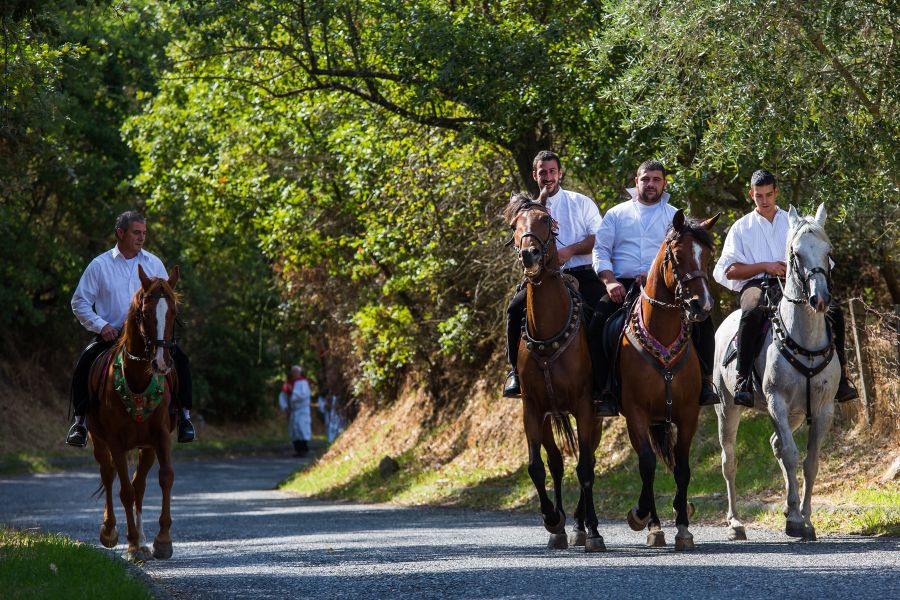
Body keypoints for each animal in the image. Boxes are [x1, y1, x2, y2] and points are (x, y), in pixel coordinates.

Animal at [88, 264, 181, 560]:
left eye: (173, 312)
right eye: (146, 313)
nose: (162, 362)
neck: (139, 377)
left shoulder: (160, 438)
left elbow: (165, 478)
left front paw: (162, 540)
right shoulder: (116, 442)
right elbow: (125, 491)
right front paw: (129, 543)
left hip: (146, 447)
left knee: (139, 484)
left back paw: (141, 539)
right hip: (98, 440)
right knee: (109, 475)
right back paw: (111, 531)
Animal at [506, 192, 604, 552]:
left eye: (546, 221)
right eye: (514, 226)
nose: (529, 253)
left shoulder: (585, 408)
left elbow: (585, 467)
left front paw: (593, 531)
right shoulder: (533, 409)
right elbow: (538, 467)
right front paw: (552, 520)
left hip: (595, 415)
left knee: (588, 461)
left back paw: (582, 525)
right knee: (558, 464)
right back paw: (565, 526)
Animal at [620, 209, 716, 552]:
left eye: (708, 256)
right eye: (678, 255)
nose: (702, 305)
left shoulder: (687, 413)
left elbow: (683, 468)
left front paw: (684, 527)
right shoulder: (636, 413)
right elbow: (647, 465)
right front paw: (648, 521)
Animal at [712, 204, 840, 540]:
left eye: (827, 251)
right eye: (795, 253)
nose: (820, 299)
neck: (804, 338)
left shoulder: (823, 409)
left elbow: (810, 462)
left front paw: (804, 518)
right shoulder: (776, 402)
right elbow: (793, 455)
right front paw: (795, 521)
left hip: (794, 414)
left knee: (775, 445)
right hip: (727, 407)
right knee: (729, 460)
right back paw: (735, 523)